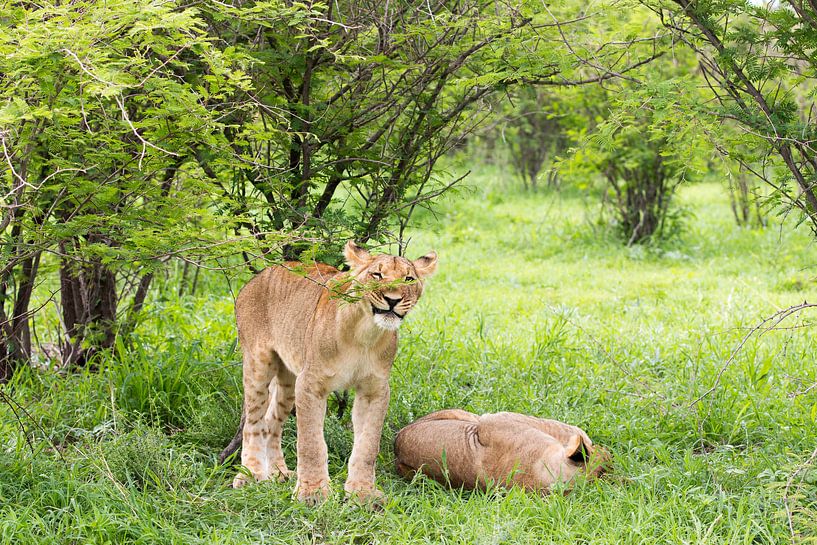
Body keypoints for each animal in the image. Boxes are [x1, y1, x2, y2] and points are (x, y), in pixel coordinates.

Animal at [229, 241, 437, 504]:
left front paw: (363, 493)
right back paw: (251, 475)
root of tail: (258, 276)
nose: (392, 300)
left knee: (271, 422)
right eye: (377, 275)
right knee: (253, 423)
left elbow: (367, 445)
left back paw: (278, 472)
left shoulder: (374, 390)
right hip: (259, 364)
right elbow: (311, 443)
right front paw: (312, 493)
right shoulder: (310, 384)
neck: (365, 334)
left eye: (409, 279)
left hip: (288, 380)